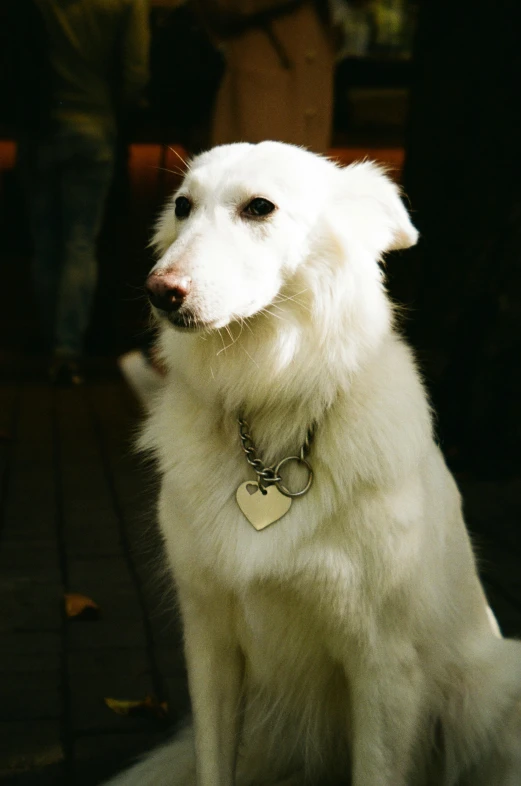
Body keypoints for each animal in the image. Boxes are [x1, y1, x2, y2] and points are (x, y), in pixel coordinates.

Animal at [108, 142, 520, 784]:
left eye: (260, 207)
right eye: (182, 206)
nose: (158, 291)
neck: (273, 405)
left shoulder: (383, 666)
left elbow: (377, 768)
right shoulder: (209, 642)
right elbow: (211, 763)